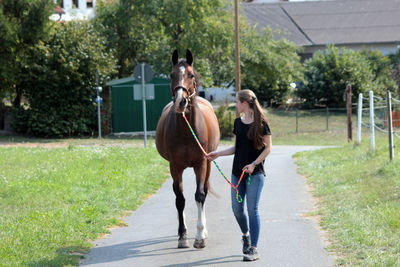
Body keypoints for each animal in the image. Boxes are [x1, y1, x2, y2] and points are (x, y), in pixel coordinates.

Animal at [155, 49, 219, 249]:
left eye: (191, 75)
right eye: (171, 75)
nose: (180, 101)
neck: (186, 131)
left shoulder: (201, 163)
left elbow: (199, 195)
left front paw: (200, 236)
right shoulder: (175, 166)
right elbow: (180, 199)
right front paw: (183, 235)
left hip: (208, 164)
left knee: (203, 191)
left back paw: (204, 230)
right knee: (179, 194)